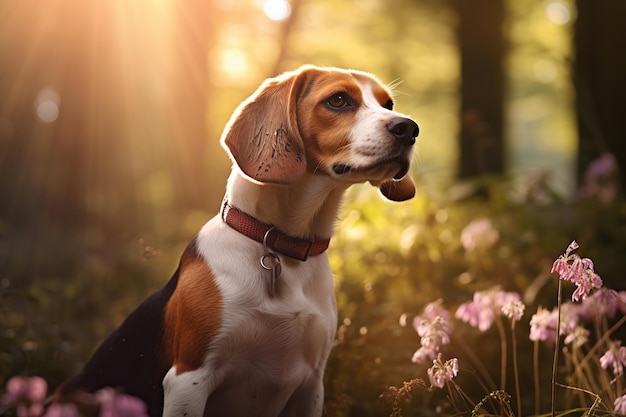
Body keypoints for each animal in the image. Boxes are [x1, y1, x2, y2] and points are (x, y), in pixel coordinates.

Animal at [58, 63, 416, 414]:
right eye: (338, 100)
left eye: (388, 105)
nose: (409, 128)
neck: (279, 245)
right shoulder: (188, 378)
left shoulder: (311, 386)